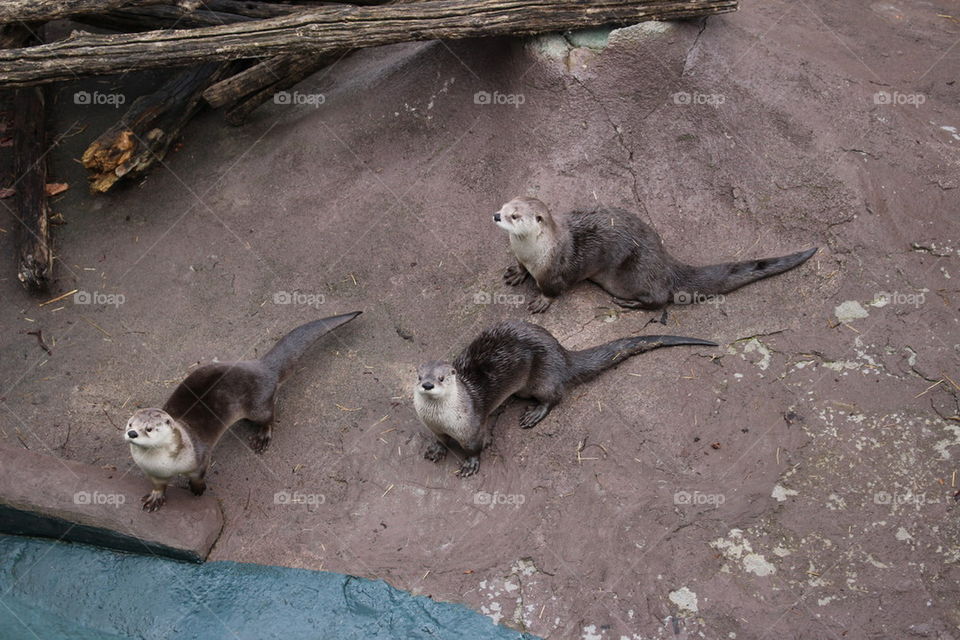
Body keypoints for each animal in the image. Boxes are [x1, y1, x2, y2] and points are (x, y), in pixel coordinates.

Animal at [125, 311, 361, 512]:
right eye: (130, 424)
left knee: (270, 416)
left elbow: (198, 476)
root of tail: (262, 367)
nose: (132, 433)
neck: (165, 465)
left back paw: (262, 437)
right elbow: (158, 486)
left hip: (258, 406)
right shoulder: (153, 474)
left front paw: (198, 489)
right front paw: (155, 498)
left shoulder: (200, 458)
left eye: (149, 428)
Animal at [413, 319, 716, 477]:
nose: (427, 384)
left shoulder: (472, 426)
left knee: (555, 396)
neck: (443, 419)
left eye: (442, 378)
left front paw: (471, 464)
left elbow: (476, 446)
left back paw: (534, 414)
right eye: (418, 376)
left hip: (543, 377)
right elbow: (439, 440)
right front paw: (436, 449)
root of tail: (562, 353)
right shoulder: (434, 426)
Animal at [493, 197, 818, 313]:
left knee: (660, 299)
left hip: (635, 274)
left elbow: (554, 289)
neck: (535, 252)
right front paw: (516, 273)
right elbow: (520, 267)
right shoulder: (525, 257)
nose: (496, 214)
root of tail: (666, 264)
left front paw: (542, 301)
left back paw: (630, 304)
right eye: (505, 204)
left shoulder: (556, 271)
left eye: (514, 215)